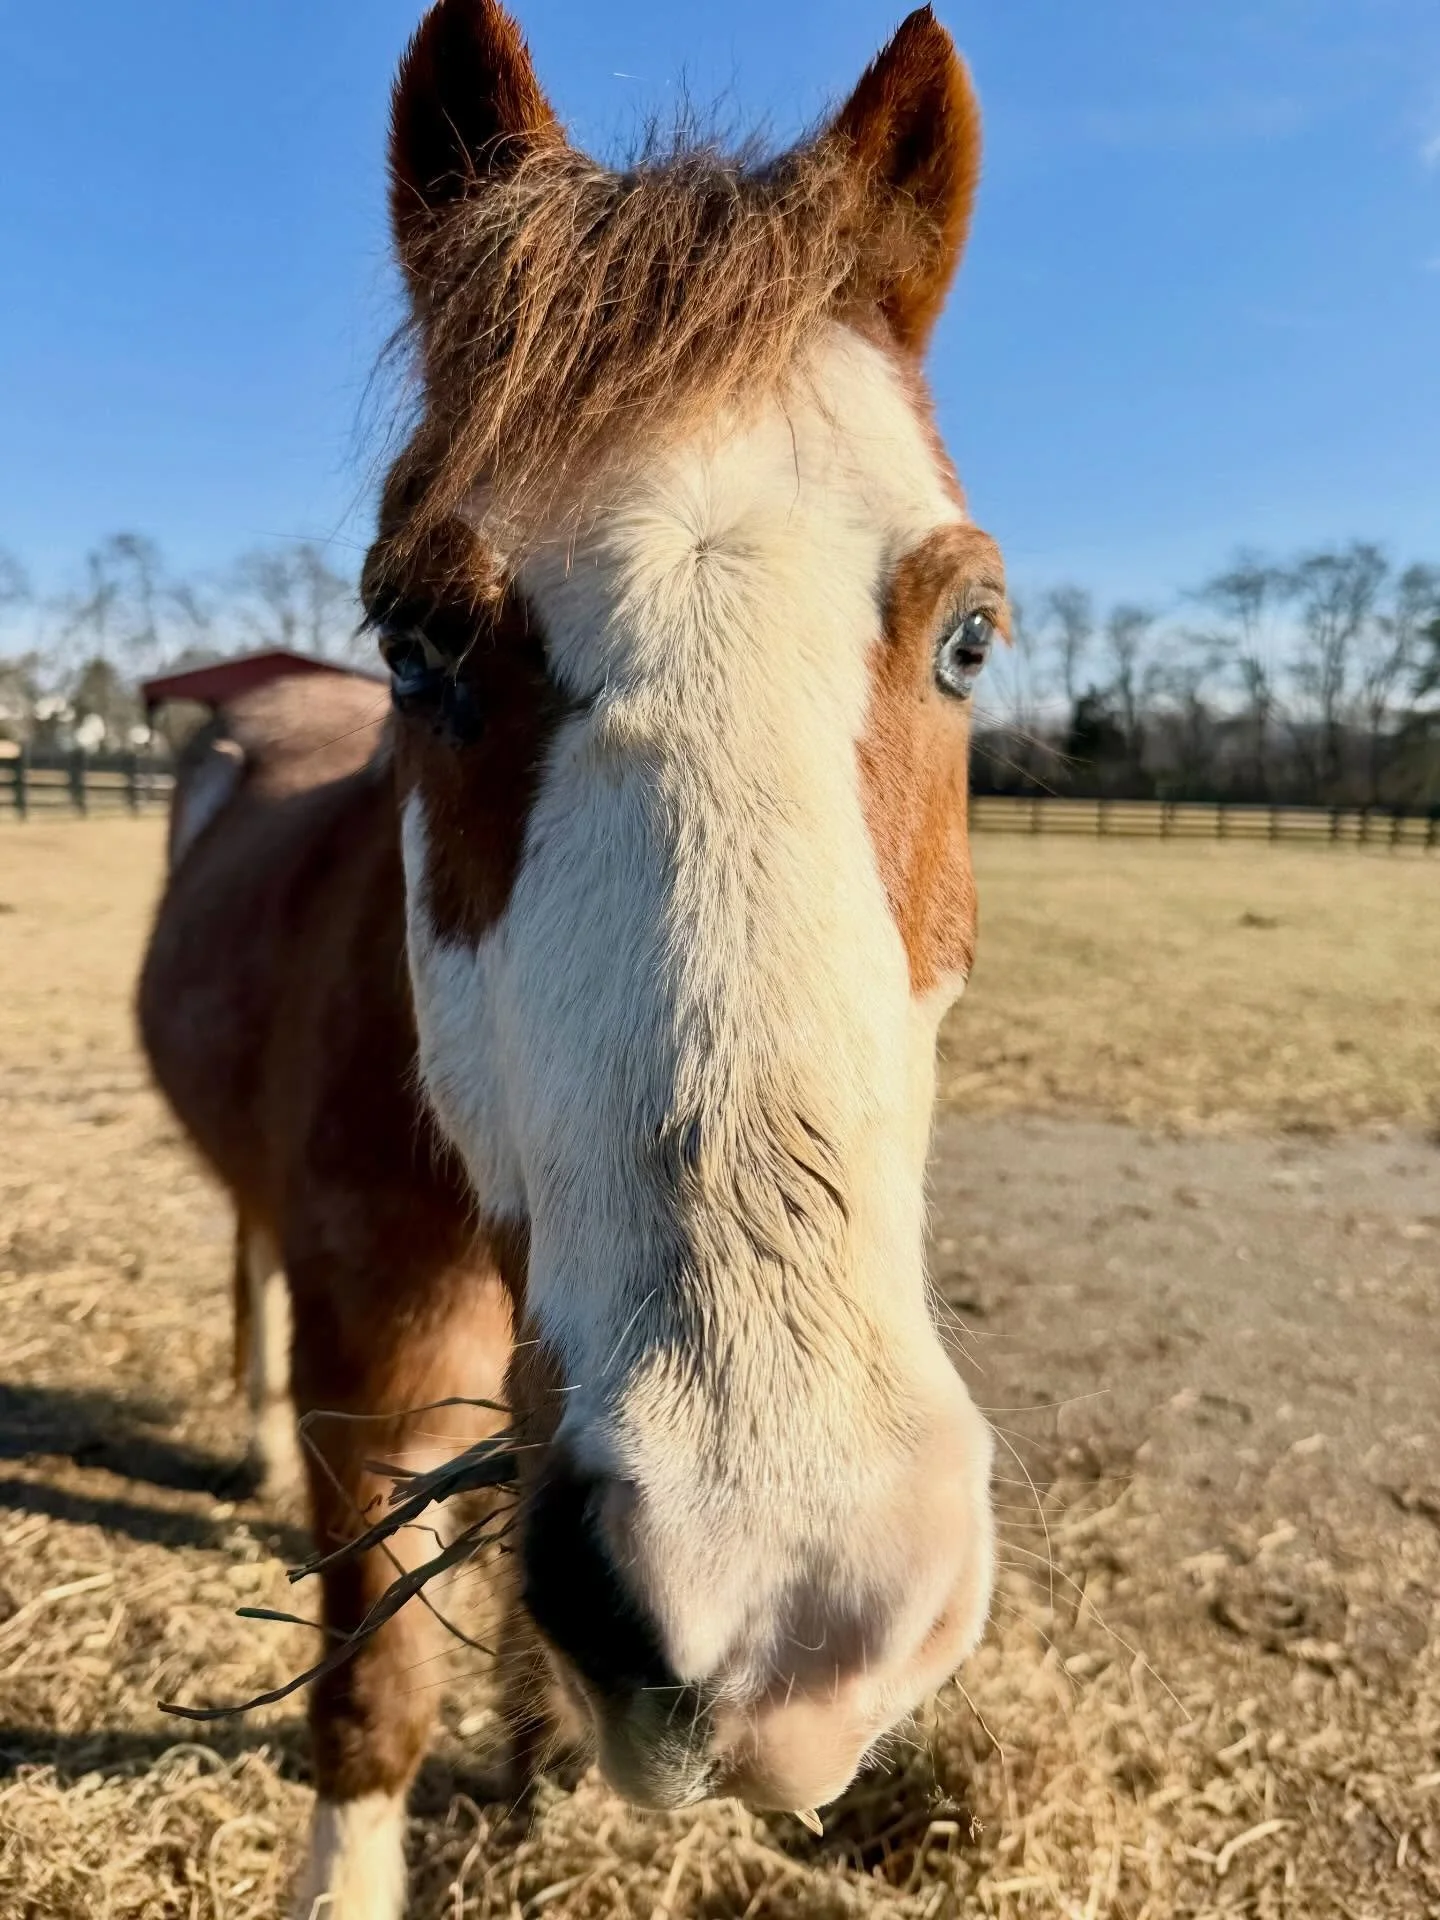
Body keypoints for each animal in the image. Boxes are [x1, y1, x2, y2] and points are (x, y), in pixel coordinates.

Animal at [138, 4, 1006, 1914]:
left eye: (971, 636)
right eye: (412, 636)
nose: (786, 1603)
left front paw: (536, 1761)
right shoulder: (370, 1398)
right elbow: (369, 1697)